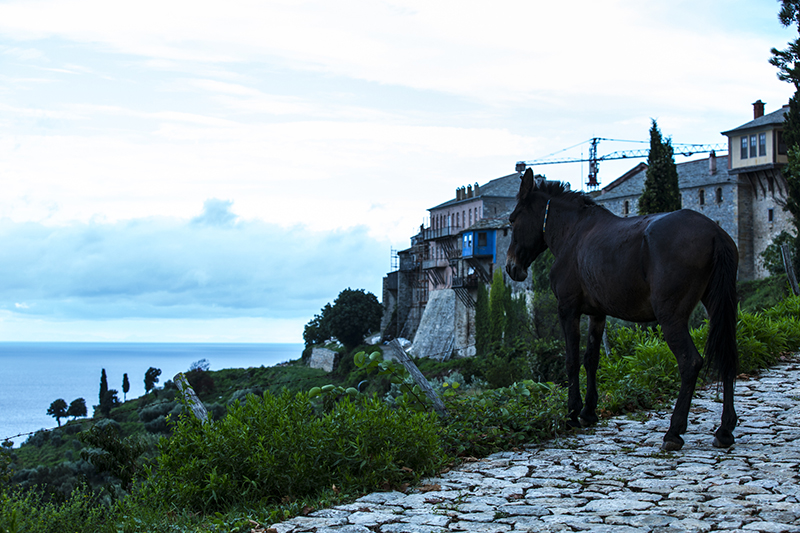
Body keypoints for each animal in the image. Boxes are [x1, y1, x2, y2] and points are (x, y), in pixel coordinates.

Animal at [506, 168, 736, 450]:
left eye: (513, 220)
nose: (511, 267)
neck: (573, 233)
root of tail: (715, 232)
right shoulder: (597, 313)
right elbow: (591, 360)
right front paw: (588, 412)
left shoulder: (568, 309)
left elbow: (571, 361)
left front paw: (572, 413)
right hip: (721, 306)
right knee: (728, 355)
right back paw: (725, 429)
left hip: (671, 317)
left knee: (690, 362)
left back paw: (674, 431)